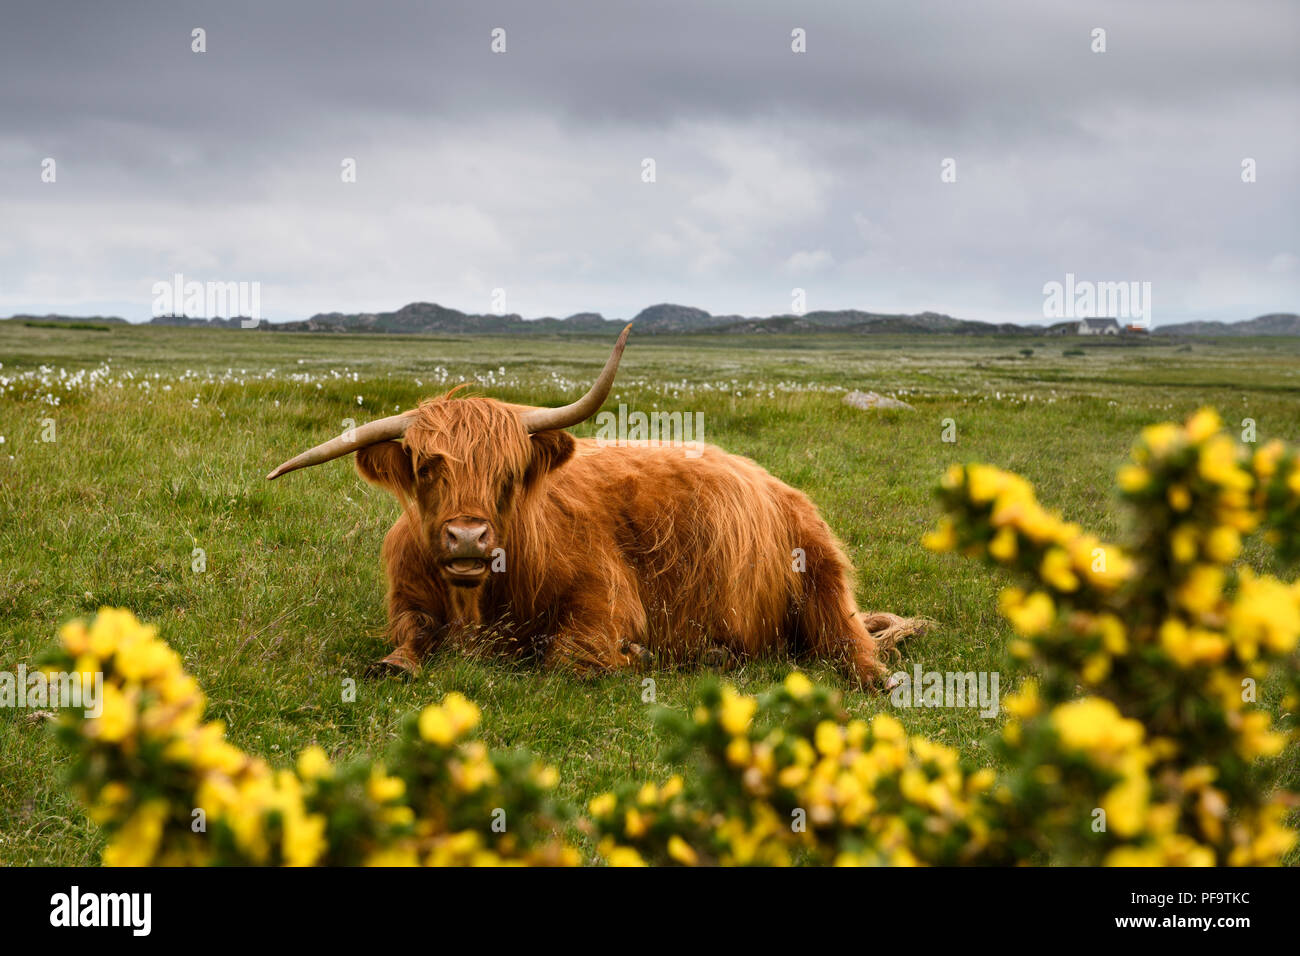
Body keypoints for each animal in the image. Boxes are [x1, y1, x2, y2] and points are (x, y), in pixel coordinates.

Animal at [269, 325, 925, 686]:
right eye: (428, 467)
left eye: (508, 474)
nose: (468, 538)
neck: (476, 603)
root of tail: (773, 483)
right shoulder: (407, 598)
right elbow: (405, 642)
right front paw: (396, 662)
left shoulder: (605, 599)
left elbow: (569, 657)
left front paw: (635, 656)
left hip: (822, 574)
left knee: (849, 644)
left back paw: (877, 680)